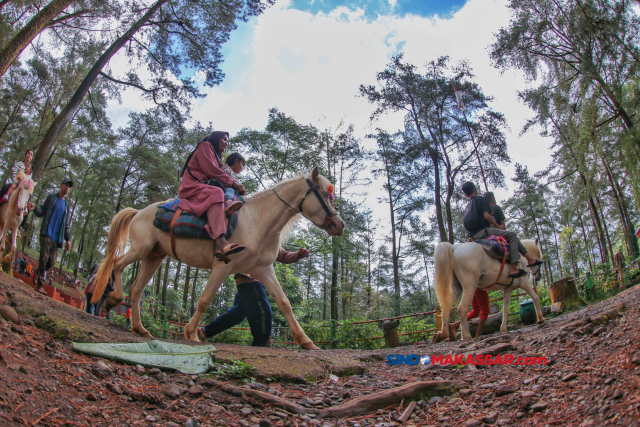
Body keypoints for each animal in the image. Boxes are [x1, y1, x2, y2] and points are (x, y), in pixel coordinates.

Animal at [92, 169, 342, 350]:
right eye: (325, 195)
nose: (340, 224)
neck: (258, 222)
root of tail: (139, 212)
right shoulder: (222, 265)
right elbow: (204, 300)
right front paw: (191, 333)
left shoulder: (263, 270)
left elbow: (284, 303)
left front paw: (305, 341)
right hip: (140, 249)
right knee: (117, 265)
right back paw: (114, 299)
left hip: (154, 256)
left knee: (135, 290)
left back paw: (139, 328)